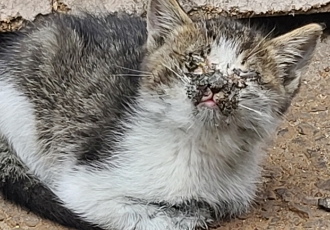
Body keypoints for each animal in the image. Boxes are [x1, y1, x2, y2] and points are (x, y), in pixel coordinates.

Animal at [0, 0, 324, 229]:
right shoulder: (82, 185)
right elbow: (159, 218)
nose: (215, 86)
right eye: (194, 63)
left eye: (244, 75)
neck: (198, 148)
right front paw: (185, 213)